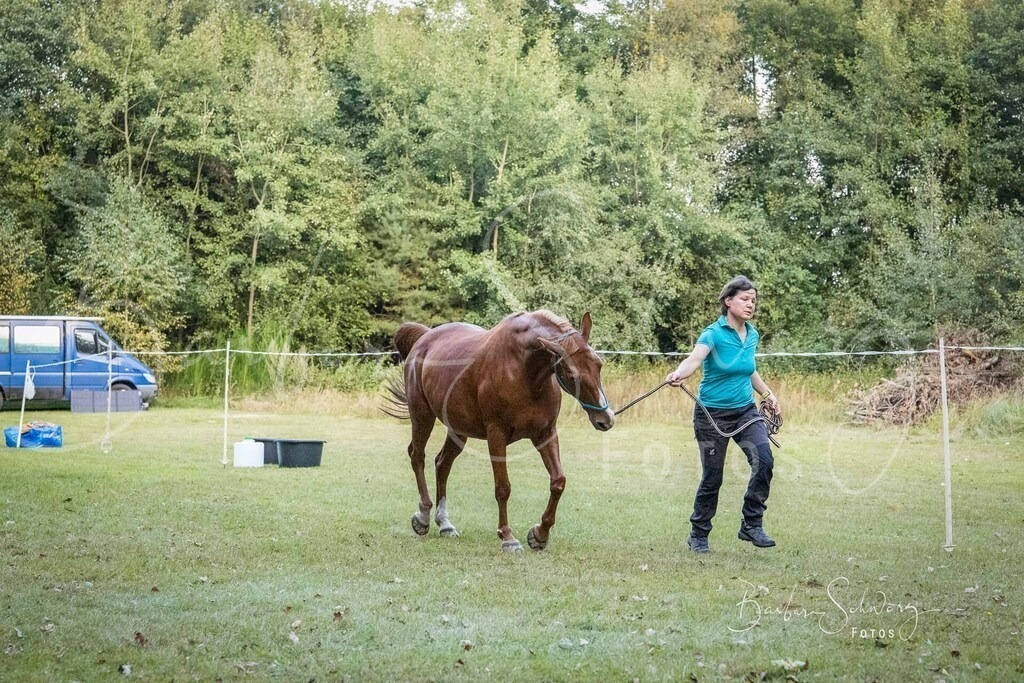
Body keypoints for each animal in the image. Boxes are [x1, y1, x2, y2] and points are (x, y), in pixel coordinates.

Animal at [384, 310, 615, 552]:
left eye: (599, 364)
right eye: (571, 375)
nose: (605, 419)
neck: (525, 370)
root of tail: (424, 339)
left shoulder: (545, 434)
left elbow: (558, 481)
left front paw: (539, 535)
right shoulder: (496, 435)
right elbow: (503, 487)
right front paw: (507, 537)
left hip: (458, 430)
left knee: (442, 464)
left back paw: (445, 523)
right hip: (422, 416)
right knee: (417, 456)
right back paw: (423, 517)